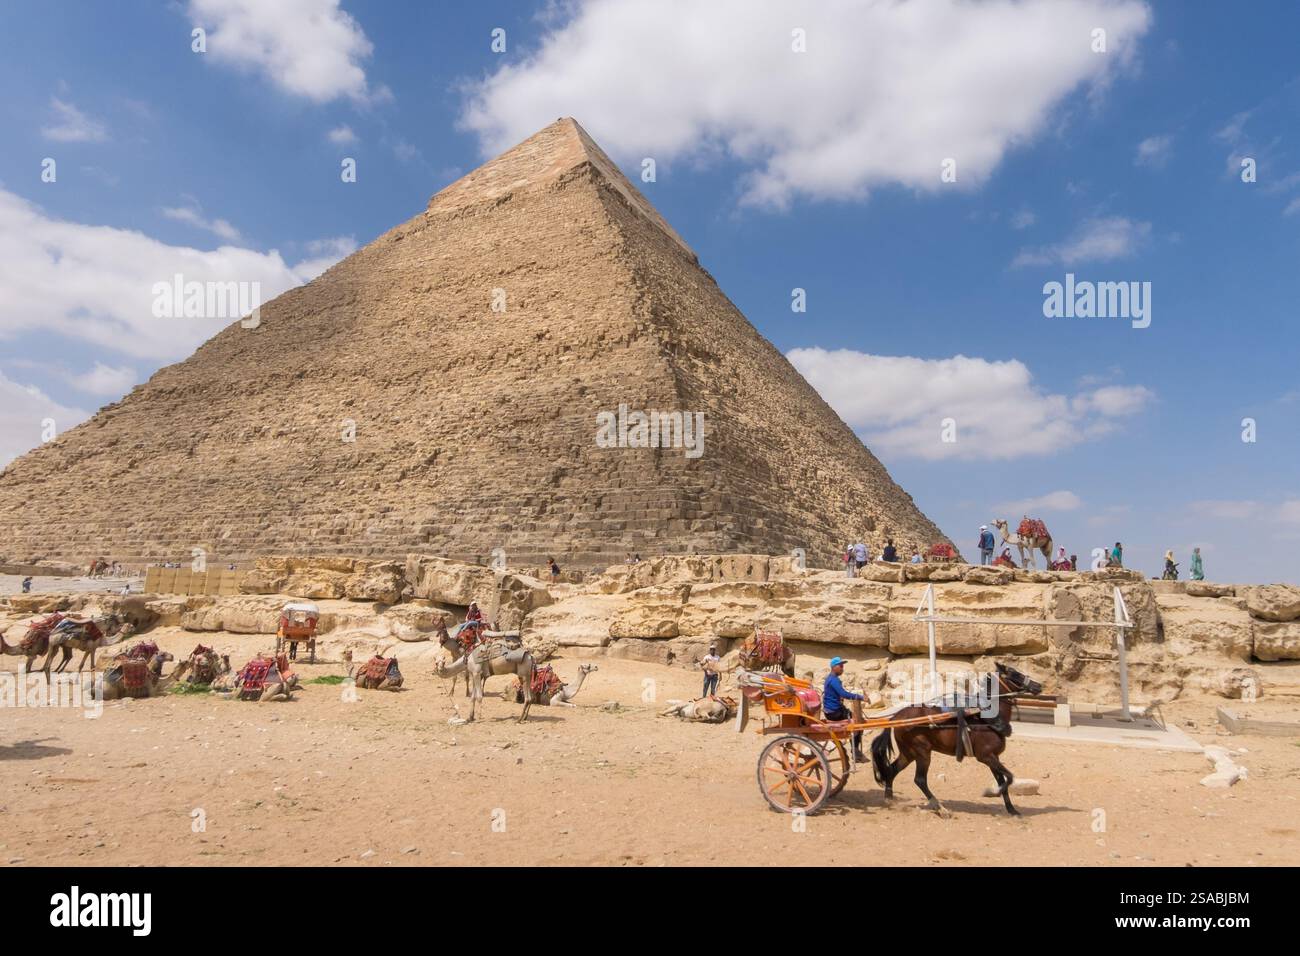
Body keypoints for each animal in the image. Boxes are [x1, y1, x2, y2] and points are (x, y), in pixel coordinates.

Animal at [870, 663, 1043, 816]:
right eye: (1014, 674)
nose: (1038, 685)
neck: (987, 718)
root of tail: (896, 717)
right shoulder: (986, 756)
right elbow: (1009, 778)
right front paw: (993, 792)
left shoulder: (994, 758)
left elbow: (1003, 781)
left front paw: (1012, 809)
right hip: (922, 752)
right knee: (920, 780)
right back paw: (940, 808)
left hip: (908, 753)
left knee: (892, 770)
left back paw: (889, 799)